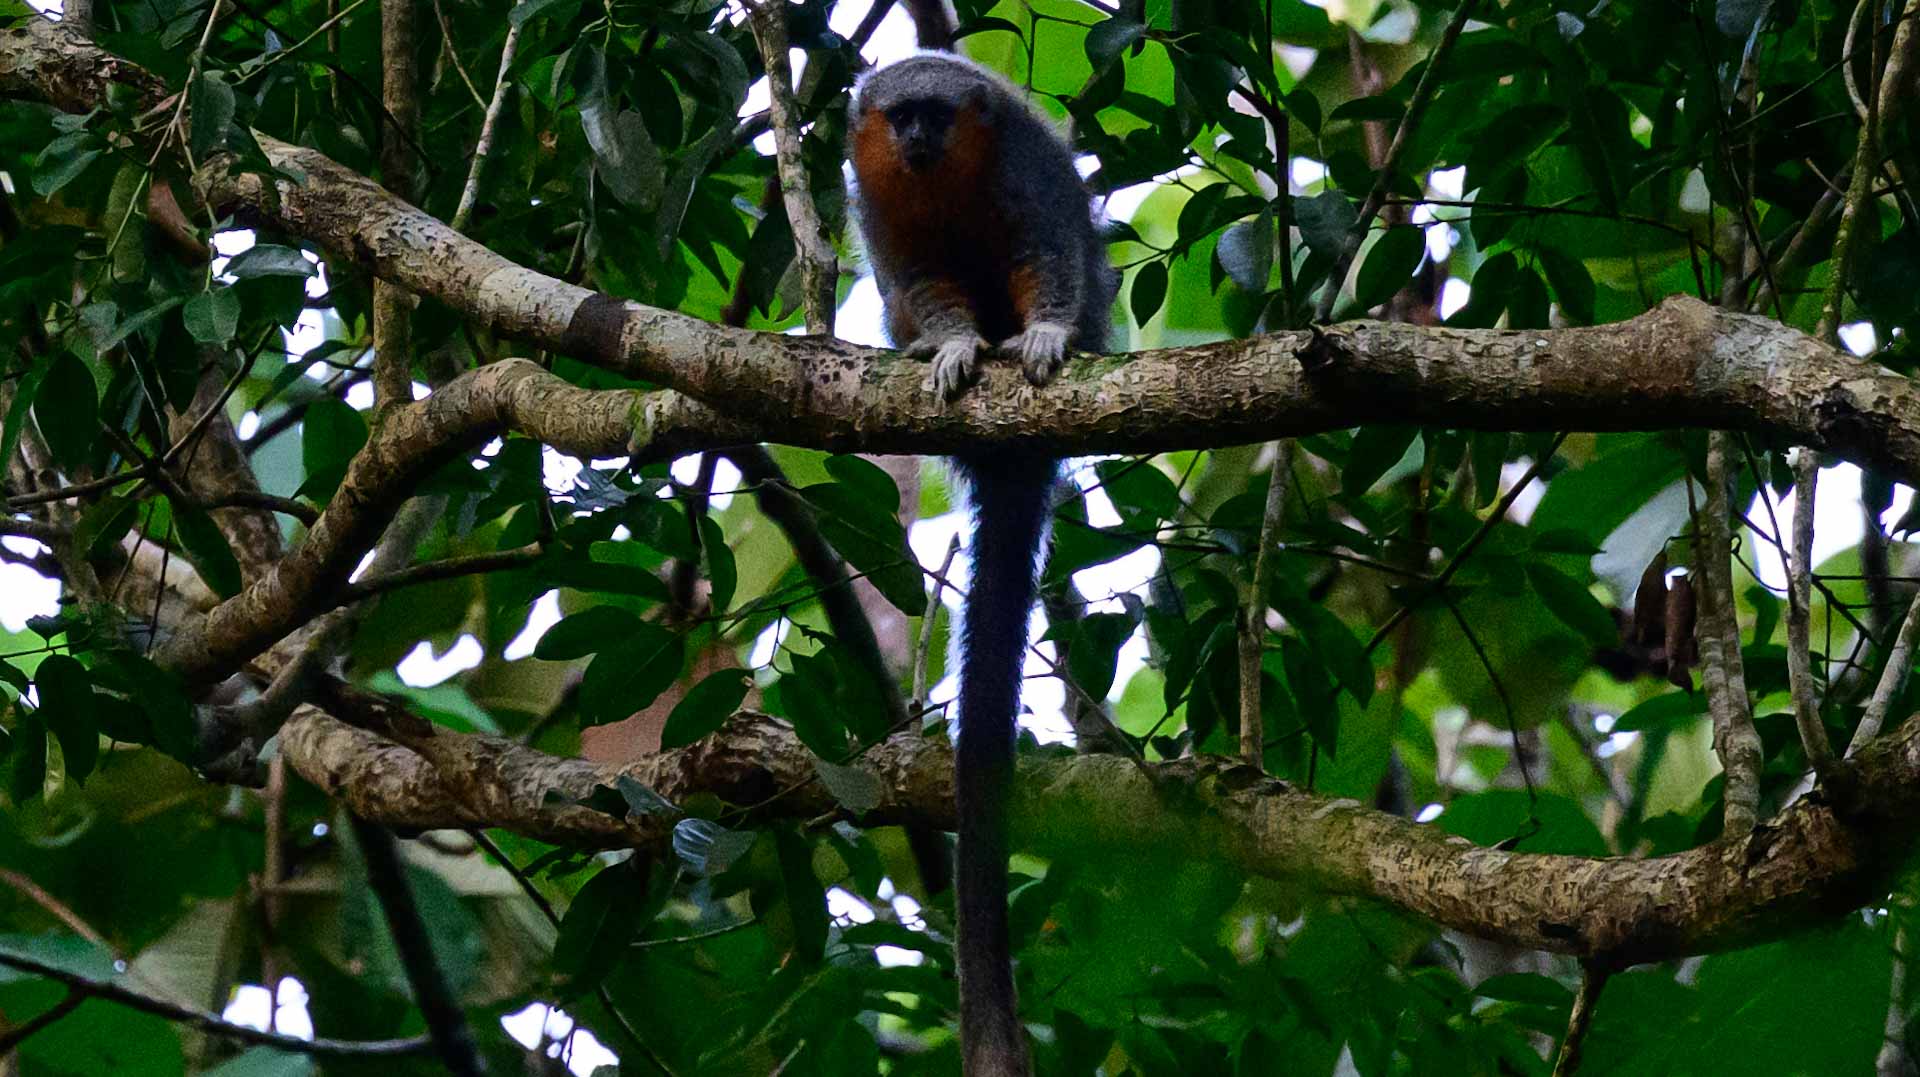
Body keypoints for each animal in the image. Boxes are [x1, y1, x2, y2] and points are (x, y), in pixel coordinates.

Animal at [847, 53, 1118, 1077]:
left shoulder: (1024, 165)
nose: (920, 138)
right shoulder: (875, 202)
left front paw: (1040, 336)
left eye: (935, 115)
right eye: (900, 119)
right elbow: (922, 279)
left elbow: (1050, 251)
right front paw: (955, 342)